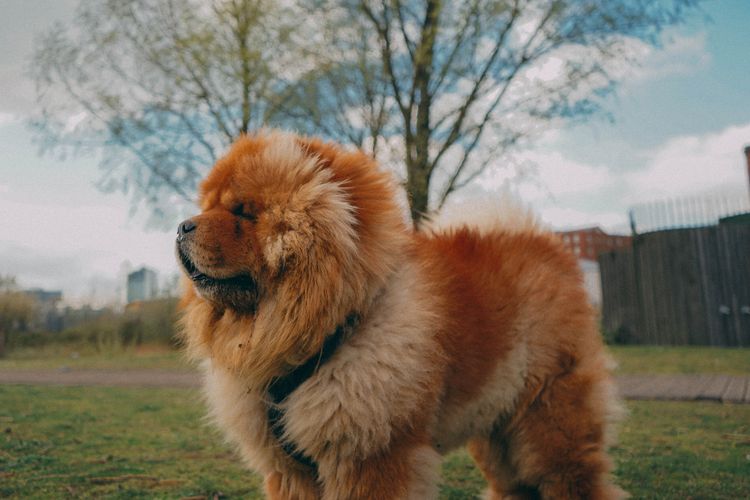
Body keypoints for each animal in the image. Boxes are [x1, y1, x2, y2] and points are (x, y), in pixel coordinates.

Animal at [178, 131, 628, 498]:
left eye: (243, 211)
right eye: (208, 206)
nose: (182, 226)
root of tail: (545, 245)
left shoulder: (372, 452)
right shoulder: (290, 470)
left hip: (548, 419)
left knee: (571, 477)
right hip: (496, 424)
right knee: (514, 485)